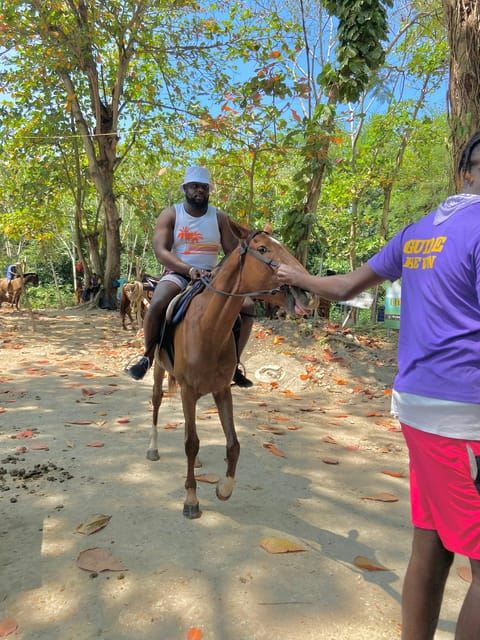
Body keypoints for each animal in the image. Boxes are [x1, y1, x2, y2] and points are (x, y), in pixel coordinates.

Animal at [146, 222, 312, 519]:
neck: (208, 327)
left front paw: (224, 488)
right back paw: (152, 448)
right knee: (156, 402)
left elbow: (233, 444)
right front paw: (191, 499)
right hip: (158, 368)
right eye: (263, 249)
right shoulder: (188, 390)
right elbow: (191, 443)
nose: (306, 292)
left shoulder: (222, 390)